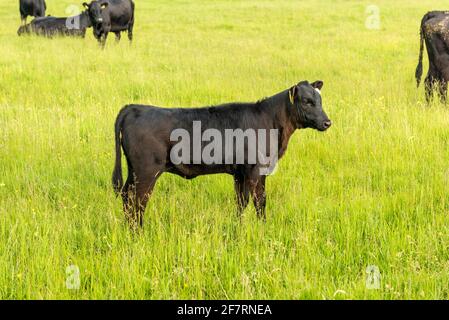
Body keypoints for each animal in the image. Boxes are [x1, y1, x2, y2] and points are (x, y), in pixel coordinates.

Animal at [110, 81, 330, 229]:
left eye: (319, 100)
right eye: (307, 101)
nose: (328, 122)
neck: (270, 121)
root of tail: (133, 107)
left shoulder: (240, 173)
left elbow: (241, 202)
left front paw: (239, 227)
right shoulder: (256, 170)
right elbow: (260, 201)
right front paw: (263, 228)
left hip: (133, 171)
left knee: (127, 197)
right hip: (146, 172)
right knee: (137, 202)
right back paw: (138, 232)